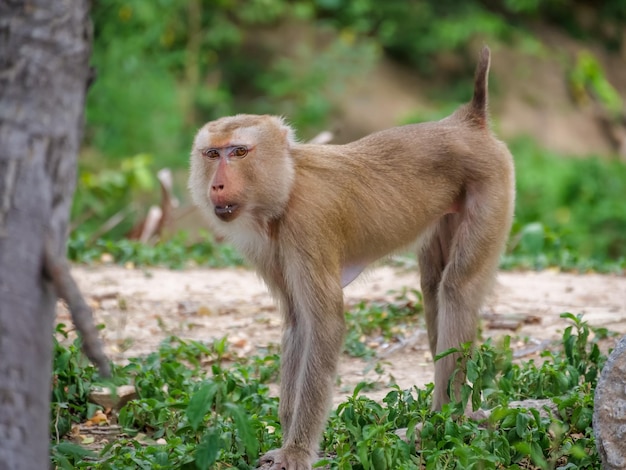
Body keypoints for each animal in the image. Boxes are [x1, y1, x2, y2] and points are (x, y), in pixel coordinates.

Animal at [189, 45, 512, 470]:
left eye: (239, 152)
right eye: (212, 153)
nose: (217, 184)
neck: (287, 188)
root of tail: (468, 122)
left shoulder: (308, 225)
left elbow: (324, 325)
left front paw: (297, 451)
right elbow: (299, 323)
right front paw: (286, 438)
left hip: (490, 186)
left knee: (456, 288)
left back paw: (445, 422)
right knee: (433, 290)